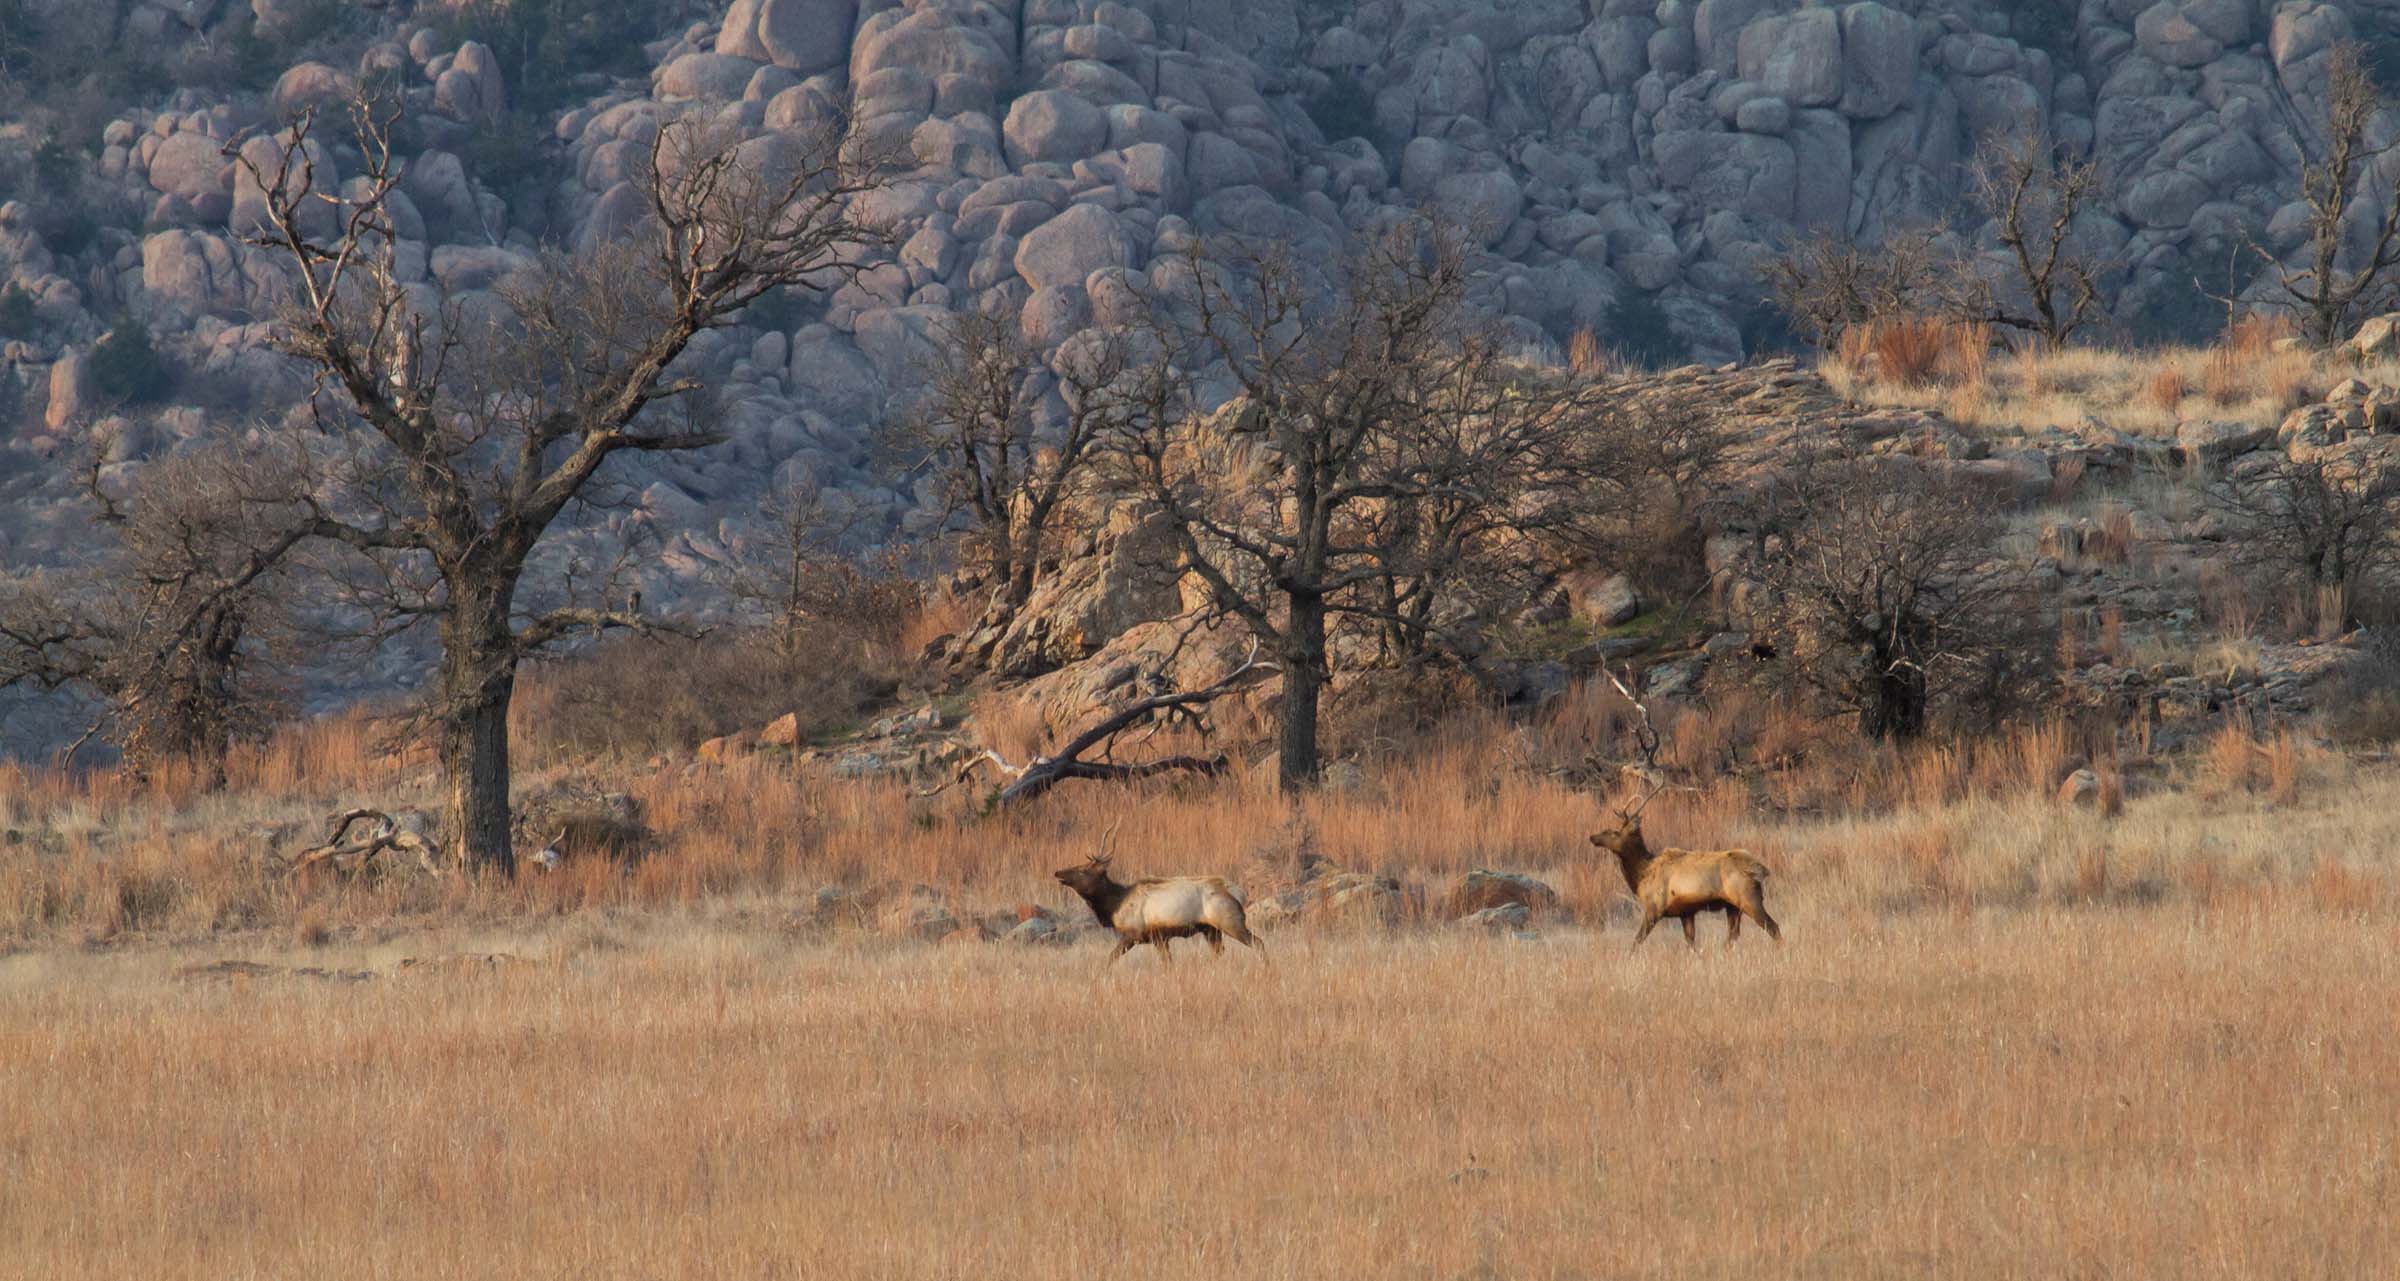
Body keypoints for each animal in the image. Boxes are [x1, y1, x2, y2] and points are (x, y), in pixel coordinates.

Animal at [1053, 821, 1266, 966]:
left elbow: (1110, 958)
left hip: (1229, 920)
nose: (1057, 872)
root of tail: (1238, 892)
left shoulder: (1135, 934)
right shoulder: (1159, 938)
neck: (1114, 906)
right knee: (1219, 952)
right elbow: (1168, 963)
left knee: (1258, 942)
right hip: (1210, 929)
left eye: (1083, 870)